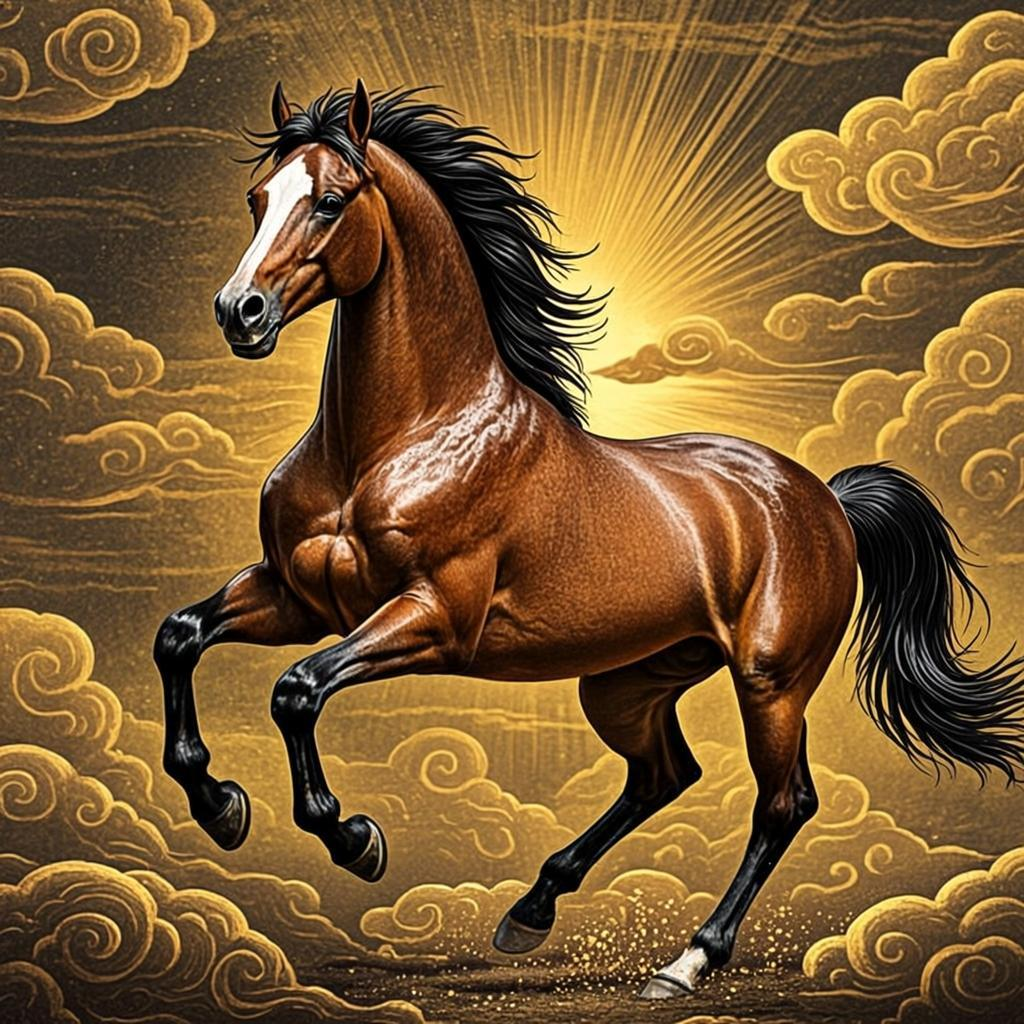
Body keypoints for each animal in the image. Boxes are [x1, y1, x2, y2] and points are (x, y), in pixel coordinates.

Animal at [154, 80, 1024, 999]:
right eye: (258, 199)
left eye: (329, 200)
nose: (239, 312)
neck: (398, 439)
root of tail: (824, 497)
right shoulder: (299, 596)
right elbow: (180, 637)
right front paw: (219, 805)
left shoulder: (434, 615)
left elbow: (297, 690)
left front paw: (353, 839)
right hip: (626, 680)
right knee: (665, 774)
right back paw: (530, 910)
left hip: (771, 680)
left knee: (782, 804)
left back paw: (685, 962)